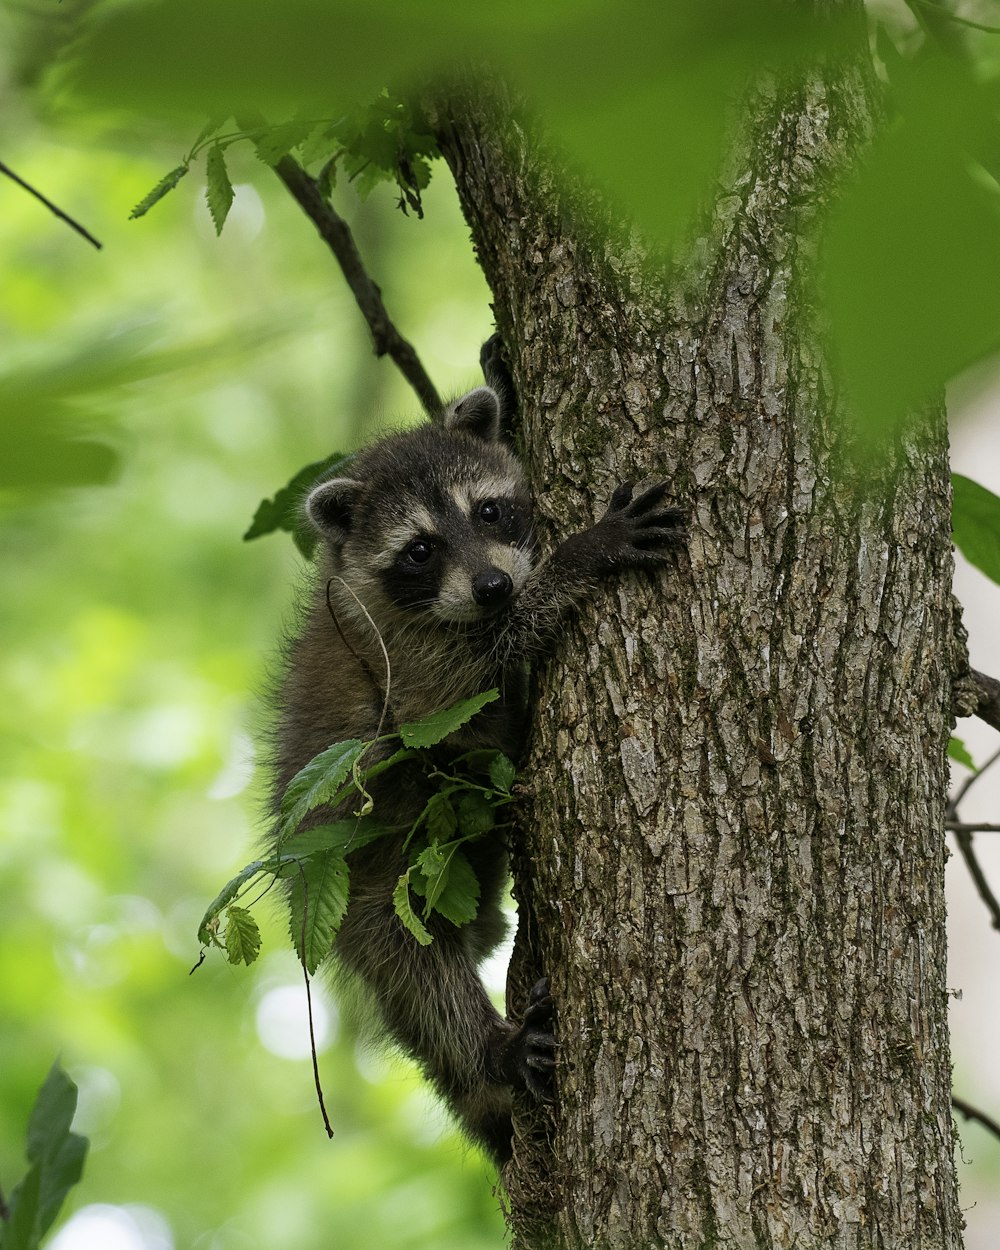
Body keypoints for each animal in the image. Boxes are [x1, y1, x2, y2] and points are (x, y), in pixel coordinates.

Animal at [270, 367, 685, 1160]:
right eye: (420, 550)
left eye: (490, 511)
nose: (493, 587)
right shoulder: (407, 663)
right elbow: (491, 656)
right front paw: (581, 554)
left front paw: (498, 368)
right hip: (369, 896)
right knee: (420, 979)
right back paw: (490, 1048)